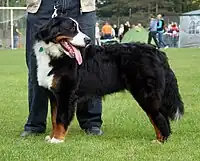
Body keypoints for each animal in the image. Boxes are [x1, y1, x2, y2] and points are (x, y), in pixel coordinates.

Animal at [33, 16, 184, 143]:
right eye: (71, 29)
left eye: (78, 28)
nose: (88, 40)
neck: (56, 56)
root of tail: (157, 52)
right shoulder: (54, 95)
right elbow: (54, 118)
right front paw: (51, 136)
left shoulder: (66, 94)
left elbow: (60, 118)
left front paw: (57, 139)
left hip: (145, 94)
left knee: (159, 117)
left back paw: (161, 141)